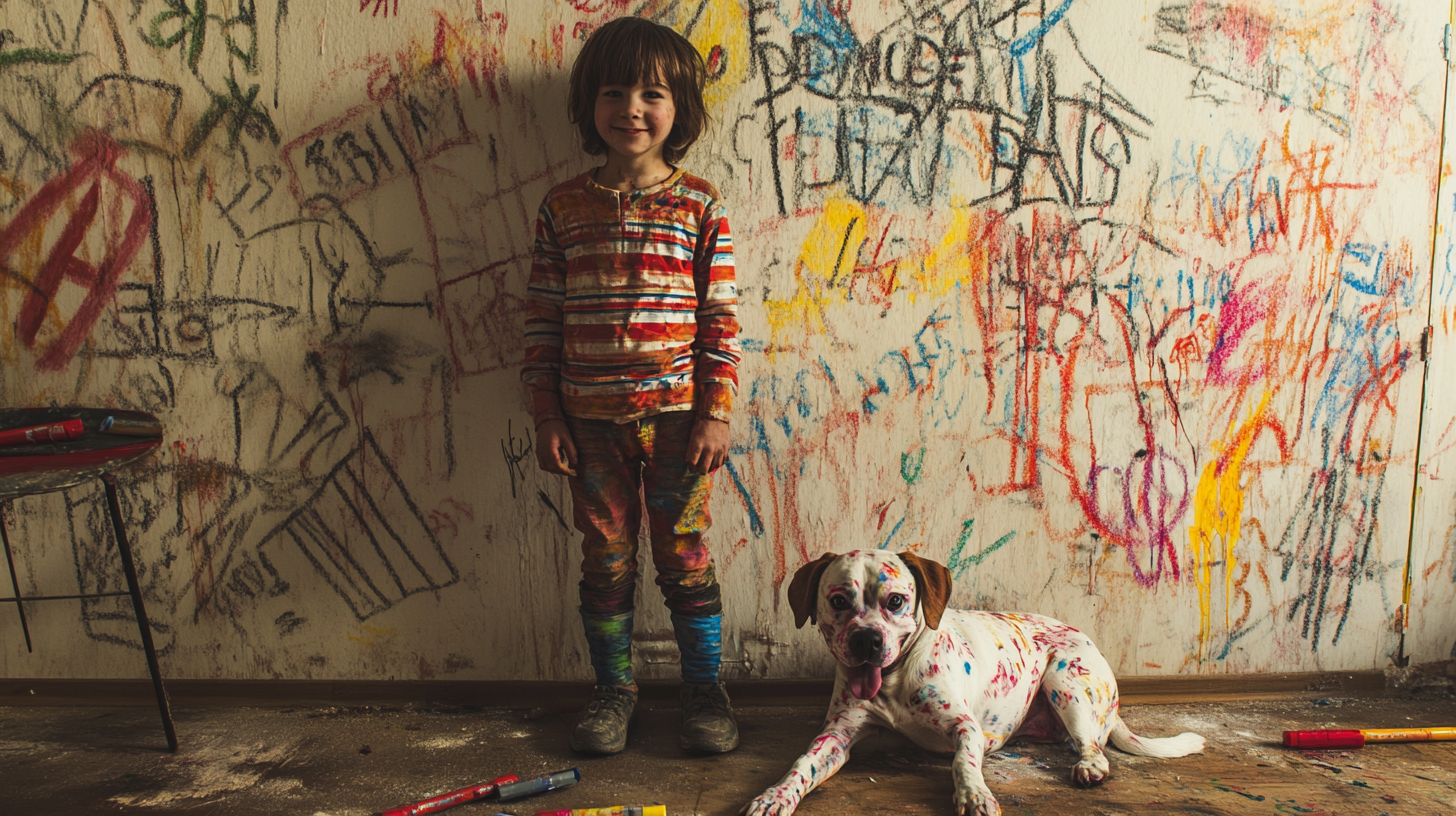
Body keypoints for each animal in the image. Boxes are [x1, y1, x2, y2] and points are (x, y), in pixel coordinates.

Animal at [745, 550, 1199, 810]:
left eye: (896, 601)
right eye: (838, 601)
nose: (866, 640)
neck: (893, 682)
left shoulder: (966, 728)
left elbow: (963, 762)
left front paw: (974, 794)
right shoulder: (836, 736)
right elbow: (801, 765)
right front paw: (774, 795)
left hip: (1065, 680)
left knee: (1095, 748)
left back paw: (1089, 766)